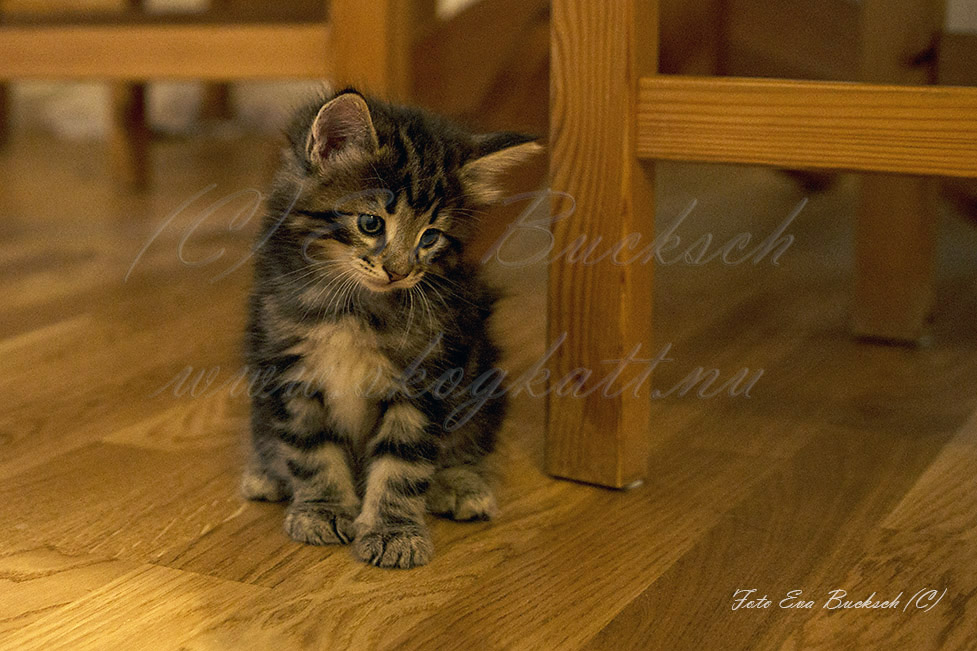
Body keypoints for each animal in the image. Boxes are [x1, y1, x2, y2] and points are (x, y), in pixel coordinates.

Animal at [239, 91, 536, 572]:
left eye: (430, 237)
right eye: (371, 224)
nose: (399, 272)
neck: (354, 307)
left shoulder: (427, 378)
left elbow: (403, 464)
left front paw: (394, 531)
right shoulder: (287, 367)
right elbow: (311, 448)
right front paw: (322, 508)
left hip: (482, 380)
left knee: (471, 441)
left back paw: (461, 484)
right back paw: (267, 472)